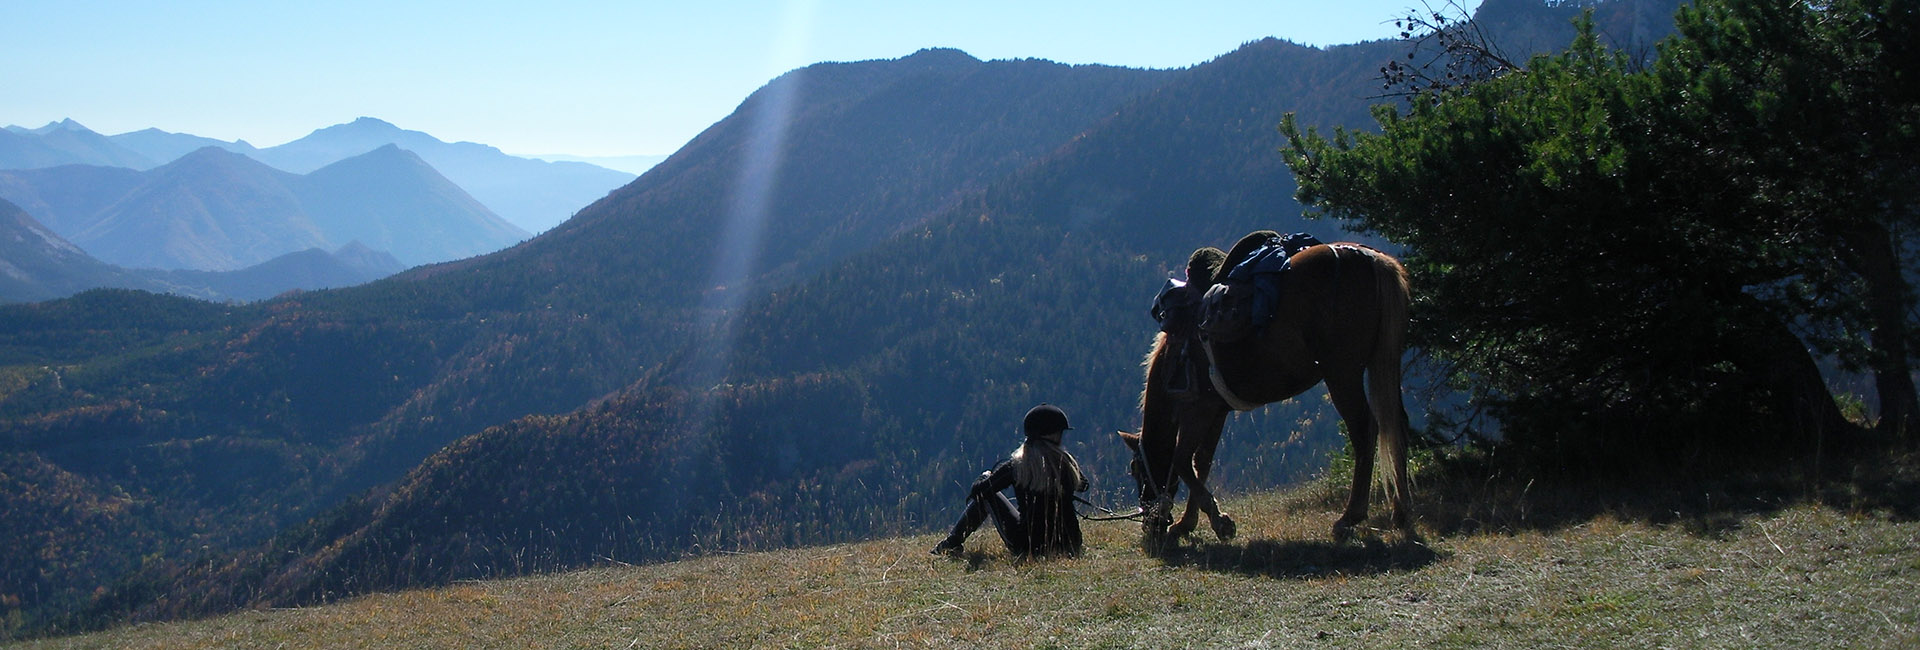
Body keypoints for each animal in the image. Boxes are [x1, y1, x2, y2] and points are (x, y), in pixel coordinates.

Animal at [1121, 233, 1420, 544]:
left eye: (1136, 469)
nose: (1151, 524)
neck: (1176, 350)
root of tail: (1371, 259)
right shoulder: (1216, 410)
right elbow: (1202, 461)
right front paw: (1188, 523)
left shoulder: (1197, 409)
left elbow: (1182, 460)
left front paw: (1218, 521)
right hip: (1385, 360)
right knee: (1396, 424)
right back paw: (1401, 511)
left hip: (1342, 373)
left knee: (1364, 430)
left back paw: (1350, 517)